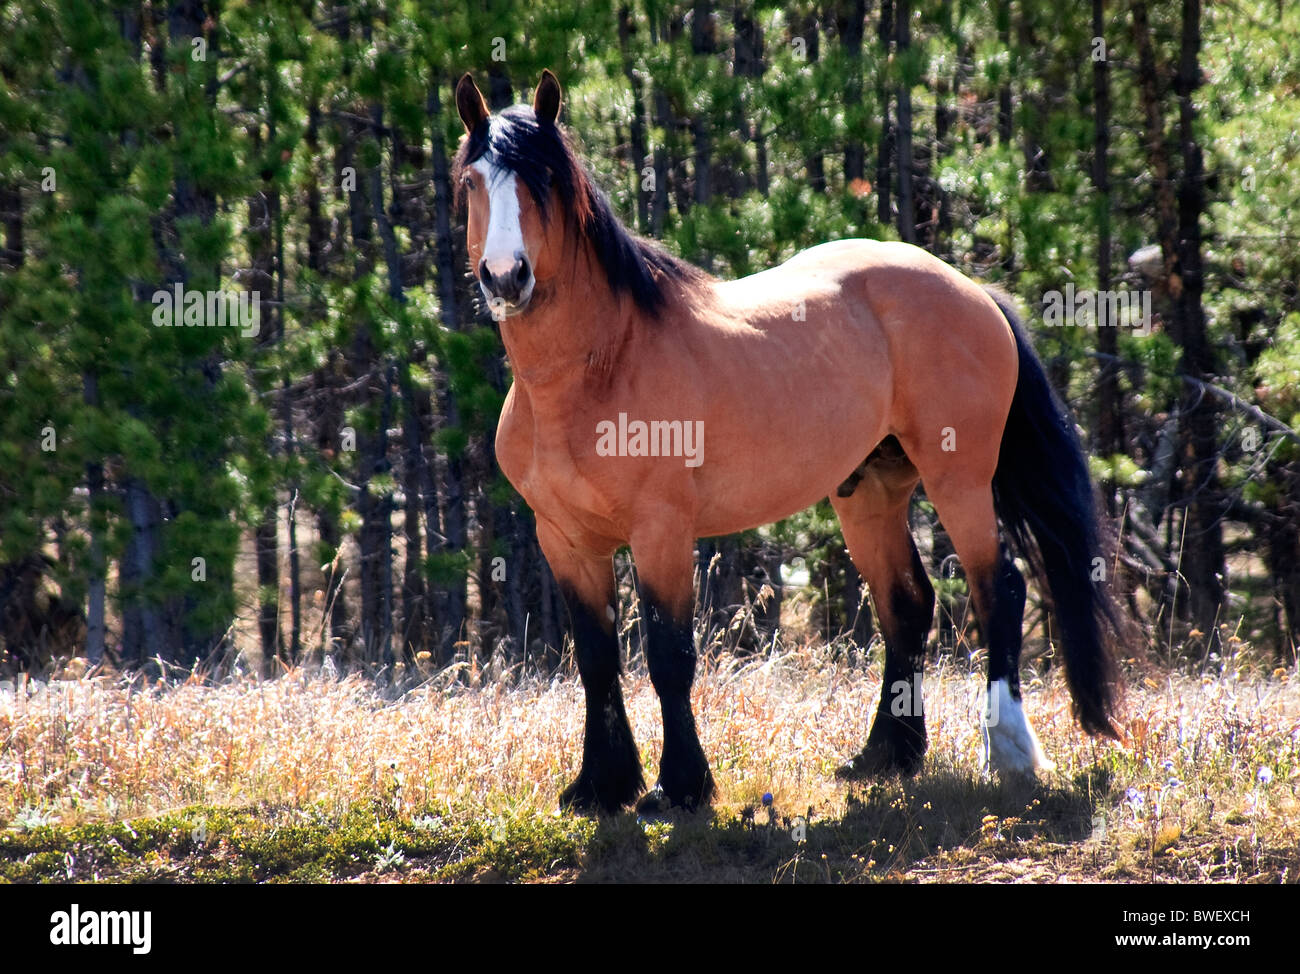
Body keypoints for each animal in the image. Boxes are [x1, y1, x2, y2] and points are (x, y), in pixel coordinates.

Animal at [452, 70, 1123, 811]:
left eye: (544, 178)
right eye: (472, 180)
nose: (506, 277)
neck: (596, 369)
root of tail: (970, 288)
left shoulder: (662, 531)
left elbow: (668, 656)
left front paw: (681, 788)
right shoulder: (565, 539)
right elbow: (597, 660)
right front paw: (602, 786)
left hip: (961, 480)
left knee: (996, 588)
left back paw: (1008, 753)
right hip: (869, 492)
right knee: (907, 605)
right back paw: (885, 755)